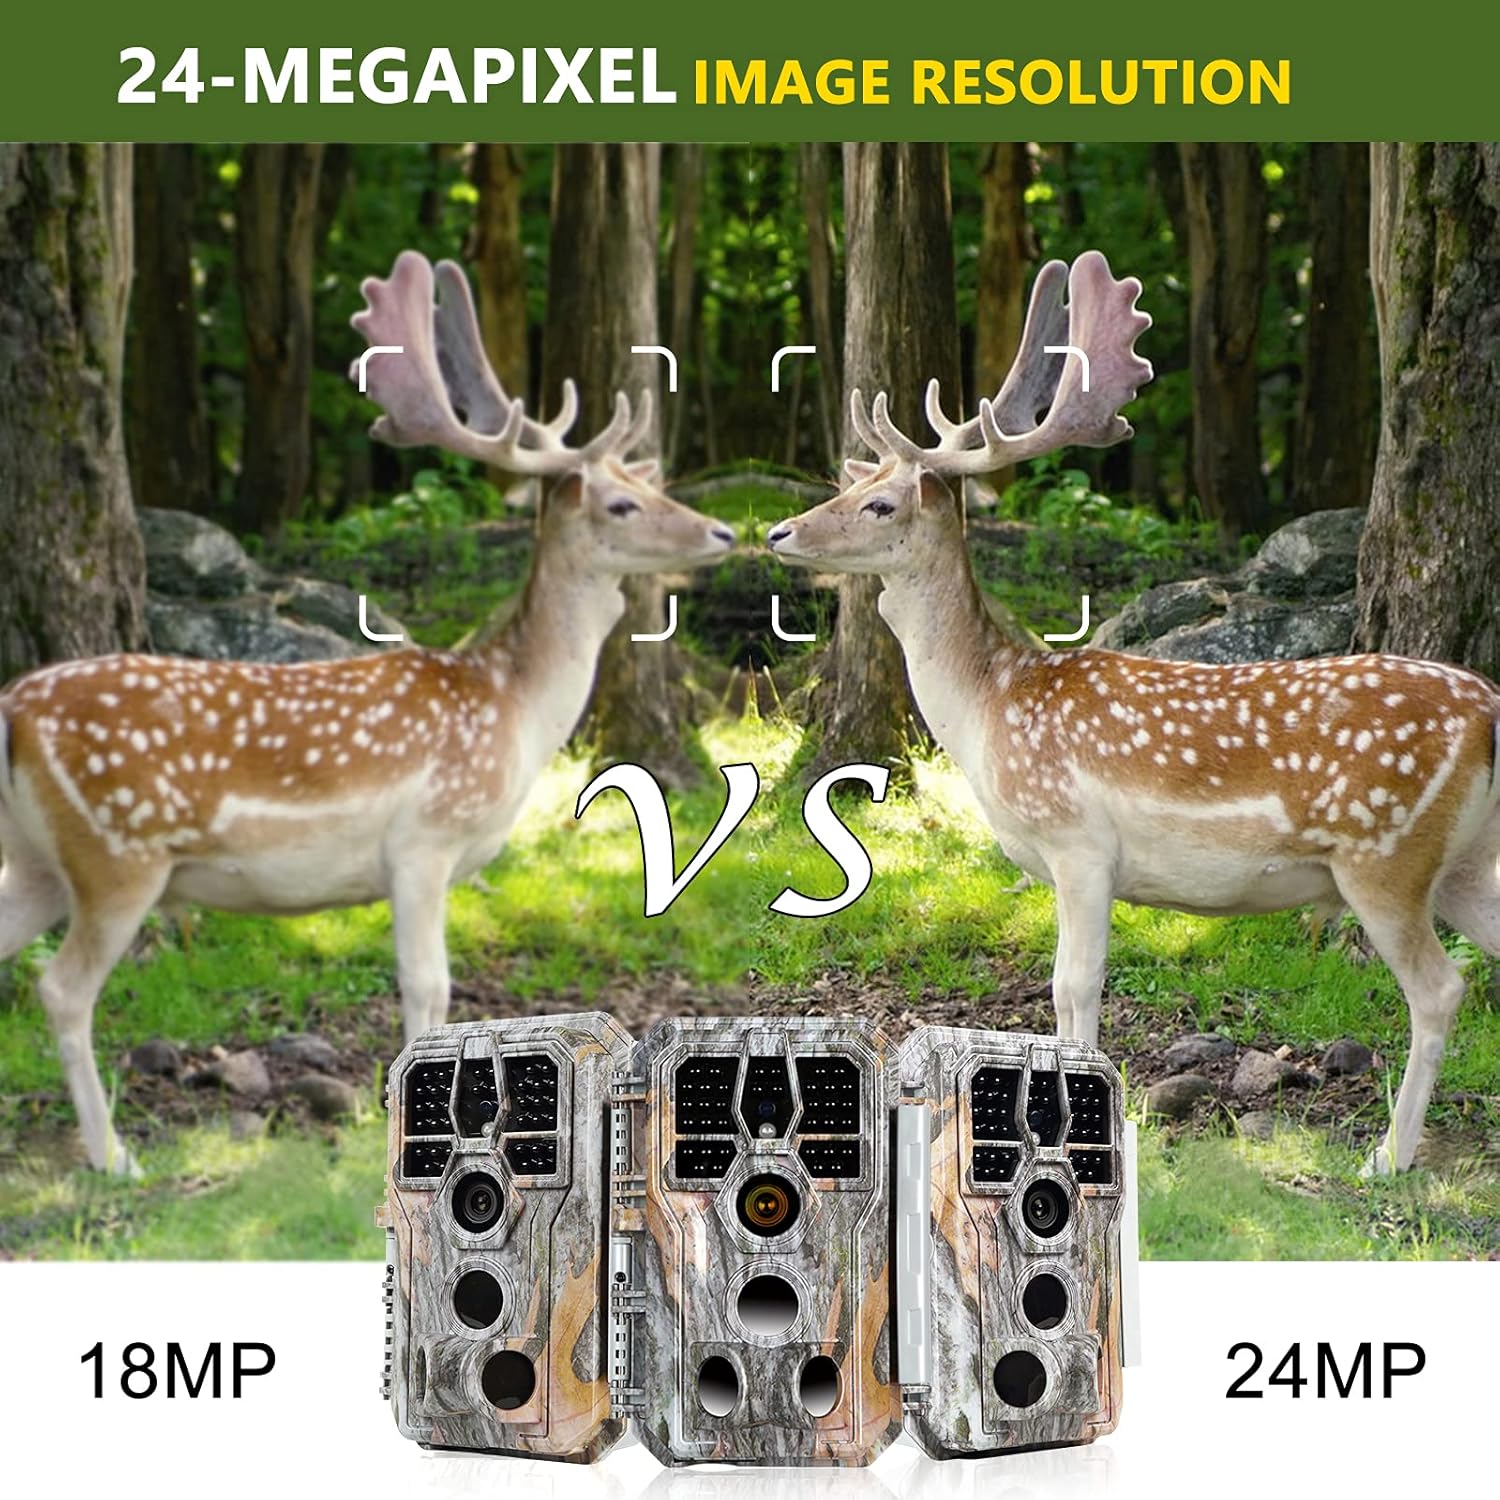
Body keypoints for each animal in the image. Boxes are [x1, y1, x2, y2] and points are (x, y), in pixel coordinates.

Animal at [0, 249, 734, 1175]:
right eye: (621, 503)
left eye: (646, 479)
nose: (721, 533)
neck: (511, 711)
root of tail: (12, 709)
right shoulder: (422, 842)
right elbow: (429, 987)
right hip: (116, 853)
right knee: (61, 988)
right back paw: (113, 1157)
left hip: (38, 861)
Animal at [766, 249, 1500, 1174]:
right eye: (853, 480)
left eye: (881, 504)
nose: (780, 533)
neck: (990, 711)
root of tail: (1490, 708)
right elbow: (1062, 996)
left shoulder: (1081, 844)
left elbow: (1073, 988)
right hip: (1468, 863)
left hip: (1386, 854)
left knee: (1441, 988)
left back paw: (1388, 1157)